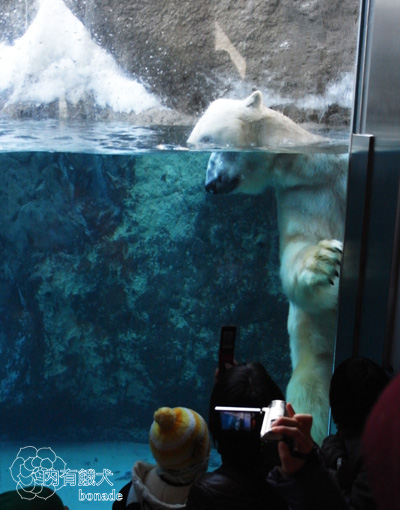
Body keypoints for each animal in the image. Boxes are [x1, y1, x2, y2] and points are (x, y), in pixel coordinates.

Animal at [188, 89, 346, 444]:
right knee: (309, 391)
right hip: (318, 349)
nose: (209, 184)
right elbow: (297, 250)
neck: (315, 163)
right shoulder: (300, 195)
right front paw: (325, 259)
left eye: (206, 139)